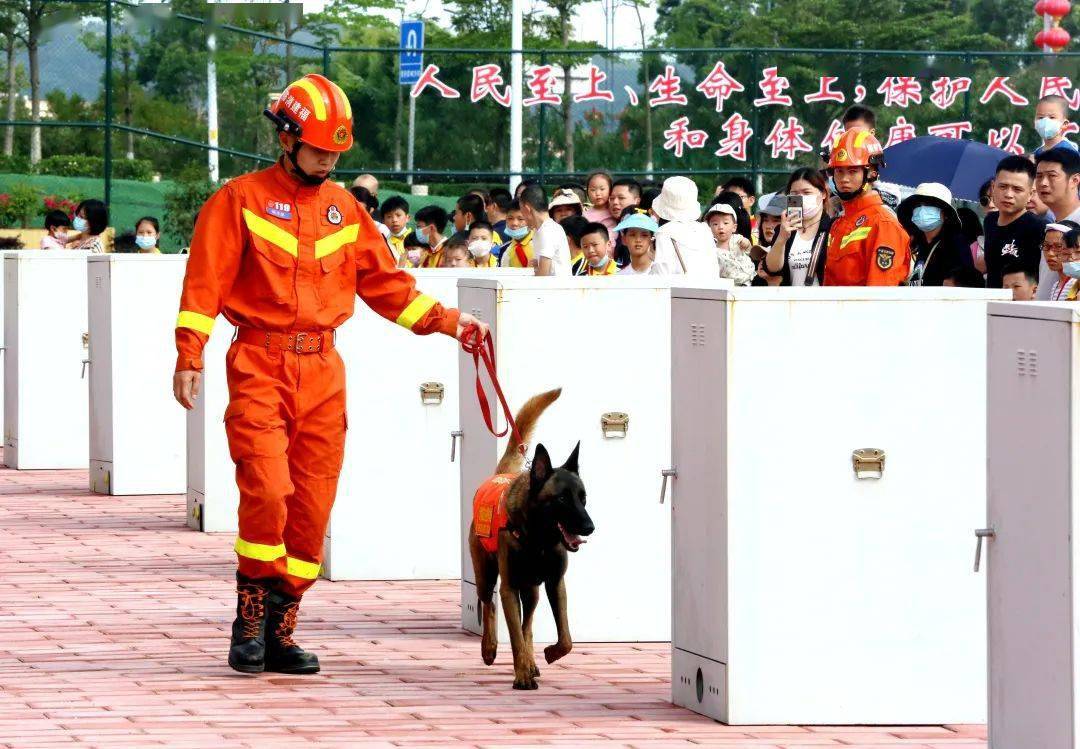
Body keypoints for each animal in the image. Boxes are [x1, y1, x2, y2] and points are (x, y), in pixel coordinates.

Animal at [468, 390, 596, 695]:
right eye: (561, 498)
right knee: (488, 606)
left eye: (583, 497)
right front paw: (522, 676)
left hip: (534, 591)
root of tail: (499, 474)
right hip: (485, 576)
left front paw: (546, 655)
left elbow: (566, 639)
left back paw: (531, 661)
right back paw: (490, 649)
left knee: (528, 625)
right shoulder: (509, 589)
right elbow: (513, 636)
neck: (539, 539)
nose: (590, 527)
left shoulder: (555, 583)